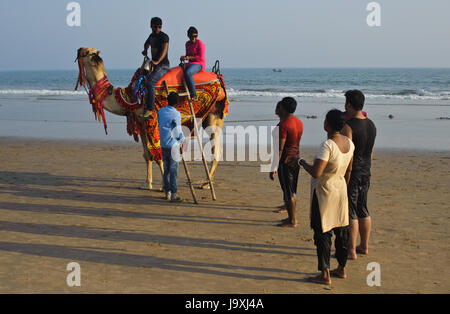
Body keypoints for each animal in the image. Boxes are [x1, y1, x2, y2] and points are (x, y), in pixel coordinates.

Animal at [75, 48, 229, 191]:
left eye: (87, 52)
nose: (79, 50)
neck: (130, 97)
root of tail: (218, 77)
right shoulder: (141, 122)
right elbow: (147, 154)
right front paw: (147, 183)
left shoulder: (152, 120)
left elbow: (158, 152)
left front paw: (164, 186)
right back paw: (205, 182)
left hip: (214, 115)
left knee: (216, 149)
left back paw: (206, 184)